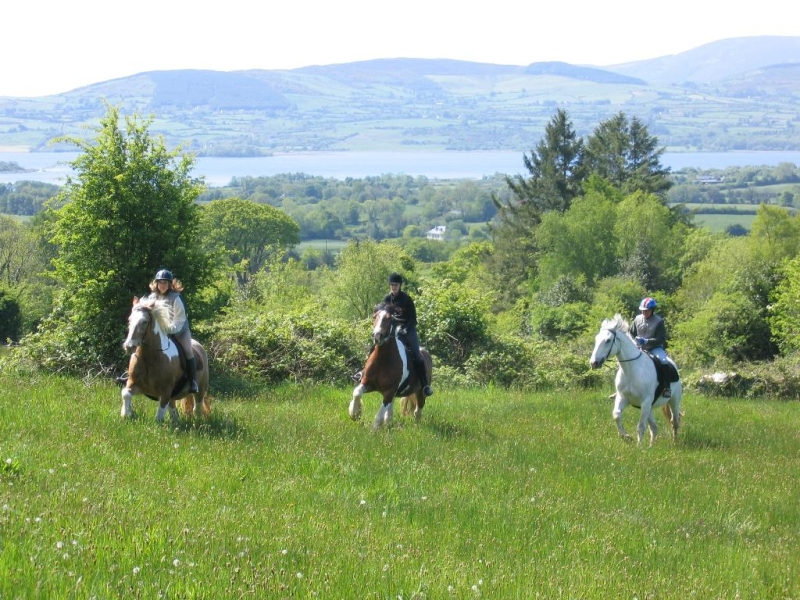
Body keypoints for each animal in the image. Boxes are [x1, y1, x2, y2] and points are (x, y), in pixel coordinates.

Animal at [588, 314, 680, 446]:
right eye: (596, 339)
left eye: (608, 340)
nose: (594, 363)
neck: (631, 371)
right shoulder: (623, 398)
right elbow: (616, 415)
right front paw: (626, 437)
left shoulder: (645, 402)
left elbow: (640, 426)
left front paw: (639, 446)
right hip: (650, 408)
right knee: (654, 427)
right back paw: (651, 446)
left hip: (673, 401)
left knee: (674, 421)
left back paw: (674, 442)